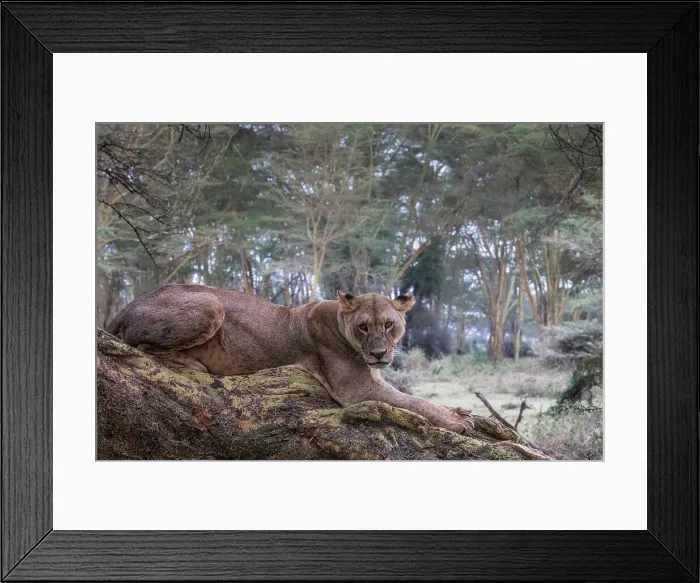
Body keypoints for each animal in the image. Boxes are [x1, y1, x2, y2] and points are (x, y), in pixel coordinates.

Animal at [106, 284, 474, 434]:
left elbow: (416, 398)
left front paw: (459, 411)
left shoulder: (373, 380)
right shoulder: (356, 391)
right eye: (363, 327)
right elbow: (414, 403)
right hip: (212, 303)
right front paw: (457, 421)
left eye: (388, 325)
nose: (379, 354)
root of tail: (125, 306)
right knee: (139, 345)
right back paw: (193, 363)